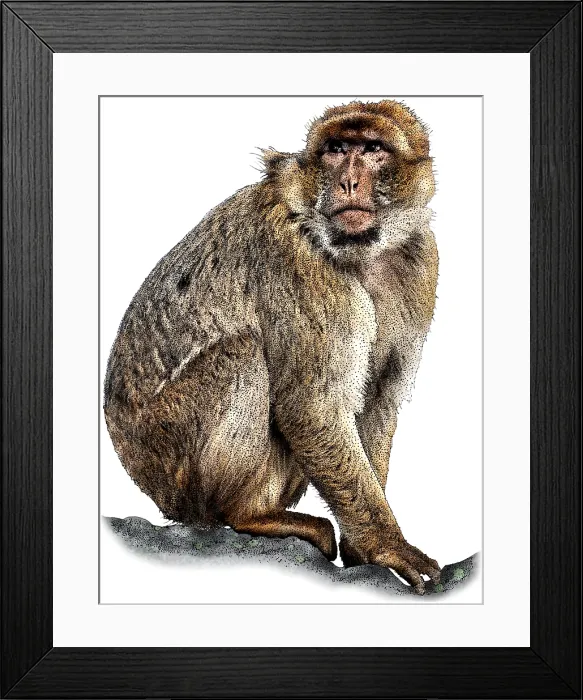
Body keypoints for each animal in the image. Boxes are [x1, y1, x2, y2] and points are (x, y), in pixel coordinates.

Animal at [104, 99, 441, 594]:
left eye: (372, 149)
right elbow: (311, 407)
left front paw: (364, 548)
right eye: (337, 149)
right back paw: (250, 515)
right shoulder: (302, 265)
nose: (348, 181)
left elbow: (379, 400)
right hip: (173, 459)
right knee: (244, 353)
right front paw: (388, 545)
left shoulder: (421, 263)